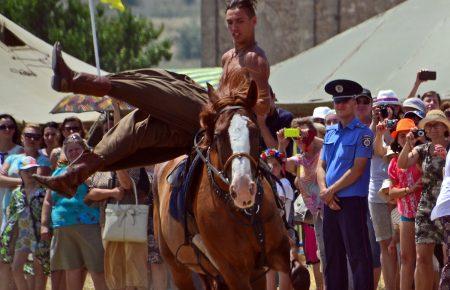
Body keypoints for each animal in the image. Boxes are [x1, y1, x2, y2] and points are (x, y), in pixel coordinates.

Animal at [154, 81, 310, 290]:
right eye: (218, 135)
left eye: (254, 131)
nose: (243, 189)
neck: (246, 214)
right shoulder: (235, 273)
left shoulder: (276, 257)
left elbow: (297, 272)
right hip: (178, 268)